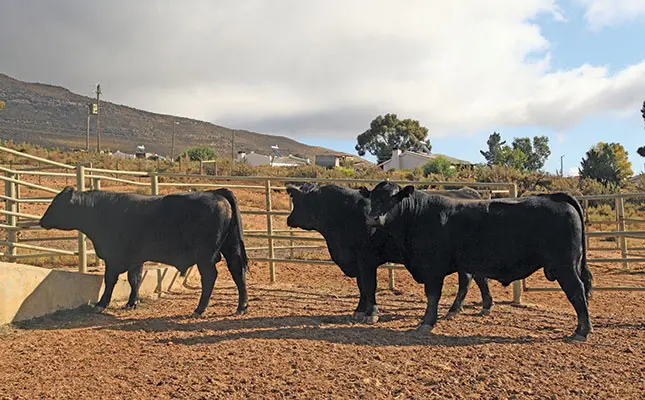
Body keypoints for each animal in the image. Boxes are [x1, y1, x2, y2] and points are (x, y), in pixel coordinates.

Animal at [39, 186, 249, 316]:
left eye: (57, 203)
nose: (42, 221)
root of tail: (215, 193)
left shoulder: (114, 258)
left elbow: (110, 280)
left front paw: (101, 304)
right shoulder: (136, 259)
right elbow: (135, 279)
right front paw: (131, 302)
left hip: (205, 256)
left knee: (210, 276)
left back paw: (200, 309)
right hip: (231, 248)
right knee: (237, 272)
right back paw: (241, 306)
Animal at [286, 182, 493, 323]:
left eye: (297, 200)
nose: (289, 219)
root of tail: (469, 192)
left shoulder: (366, 259)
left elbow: (369, 286)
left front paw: (371, 313)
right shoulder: (358, 261)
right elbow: (361, 287)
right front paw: (360, 310)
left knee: (466, 280)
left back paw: (455, 309)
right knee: (478, 278)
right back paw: (484, 306)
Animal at [363, 181, 593, 341]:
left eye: (393, 197)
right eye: (373, 199)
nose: (373, 218)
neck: (417, 215)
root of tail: (555, 197)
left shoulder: (432, 268)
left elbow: (432, 296)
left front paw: (426, 323)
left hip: (565, 266)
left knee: (577, 291)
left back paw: (582, 331)